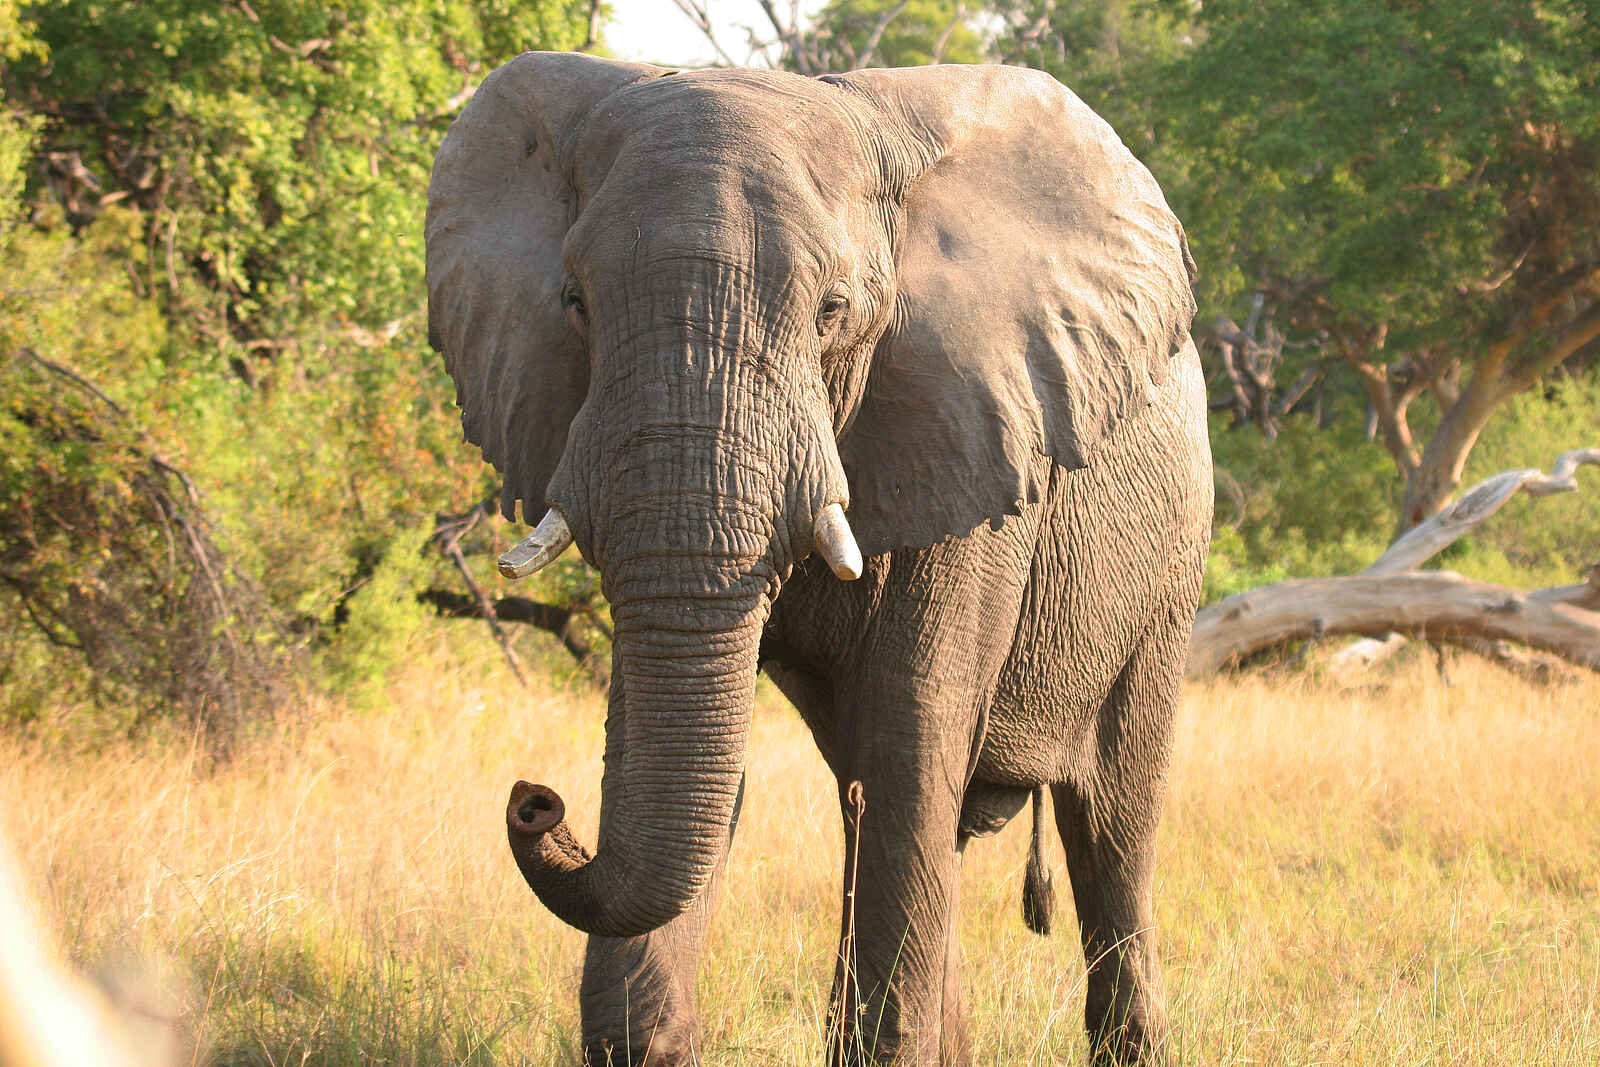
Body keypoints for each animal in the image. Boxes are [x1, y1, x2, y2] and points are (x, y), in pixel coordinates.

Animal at [425, 51, 1211, 1066]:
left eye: (834, 311)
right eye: (575, 304)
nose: (534, 798)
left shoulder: (978, 433)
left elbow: (914, 725)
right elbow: (668, 729)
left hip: (1168, 570)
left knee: (1108, 822)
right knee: (875, 802)